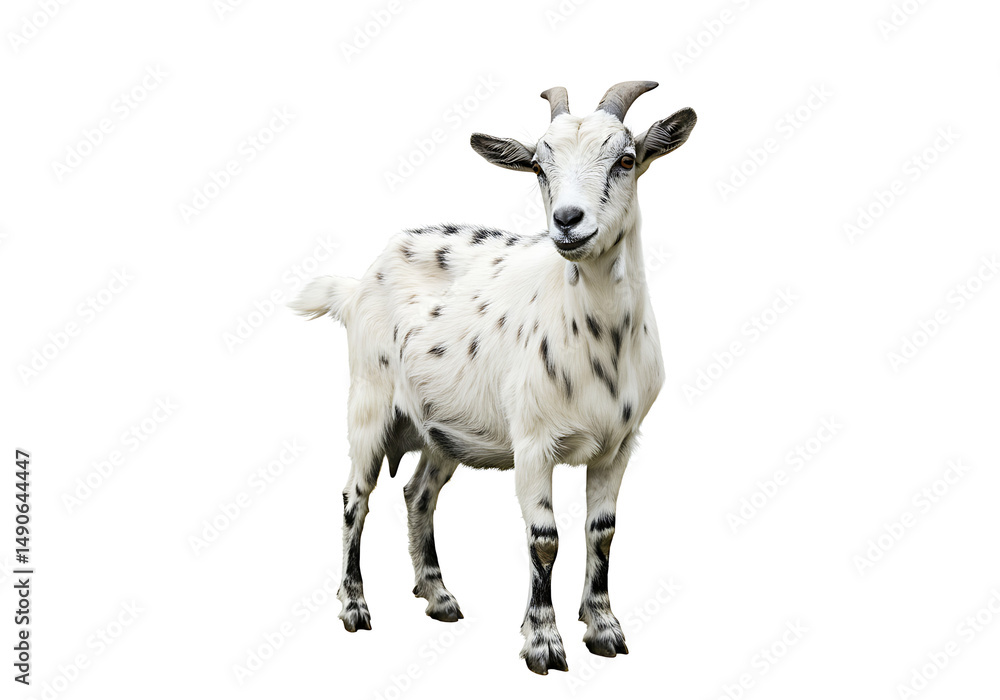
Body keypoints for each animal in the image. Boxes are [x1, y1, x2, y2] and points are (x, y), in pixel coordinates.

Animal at [291, 81, 696, 674]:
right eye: (539, 167)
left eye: (626, 159)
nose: (568, 220)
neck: (599, 341)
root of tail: (359, 282)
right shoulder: (532, 442)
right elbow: (544, 538)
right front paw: (543, 642)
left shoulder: (620, 444)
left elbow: (602, 533)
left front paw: (603, 628)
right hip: (368, 402)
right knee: (354, 497)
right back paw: (354, 607)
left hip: (443, 428)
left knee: (418, 494)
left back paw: (439, 596)